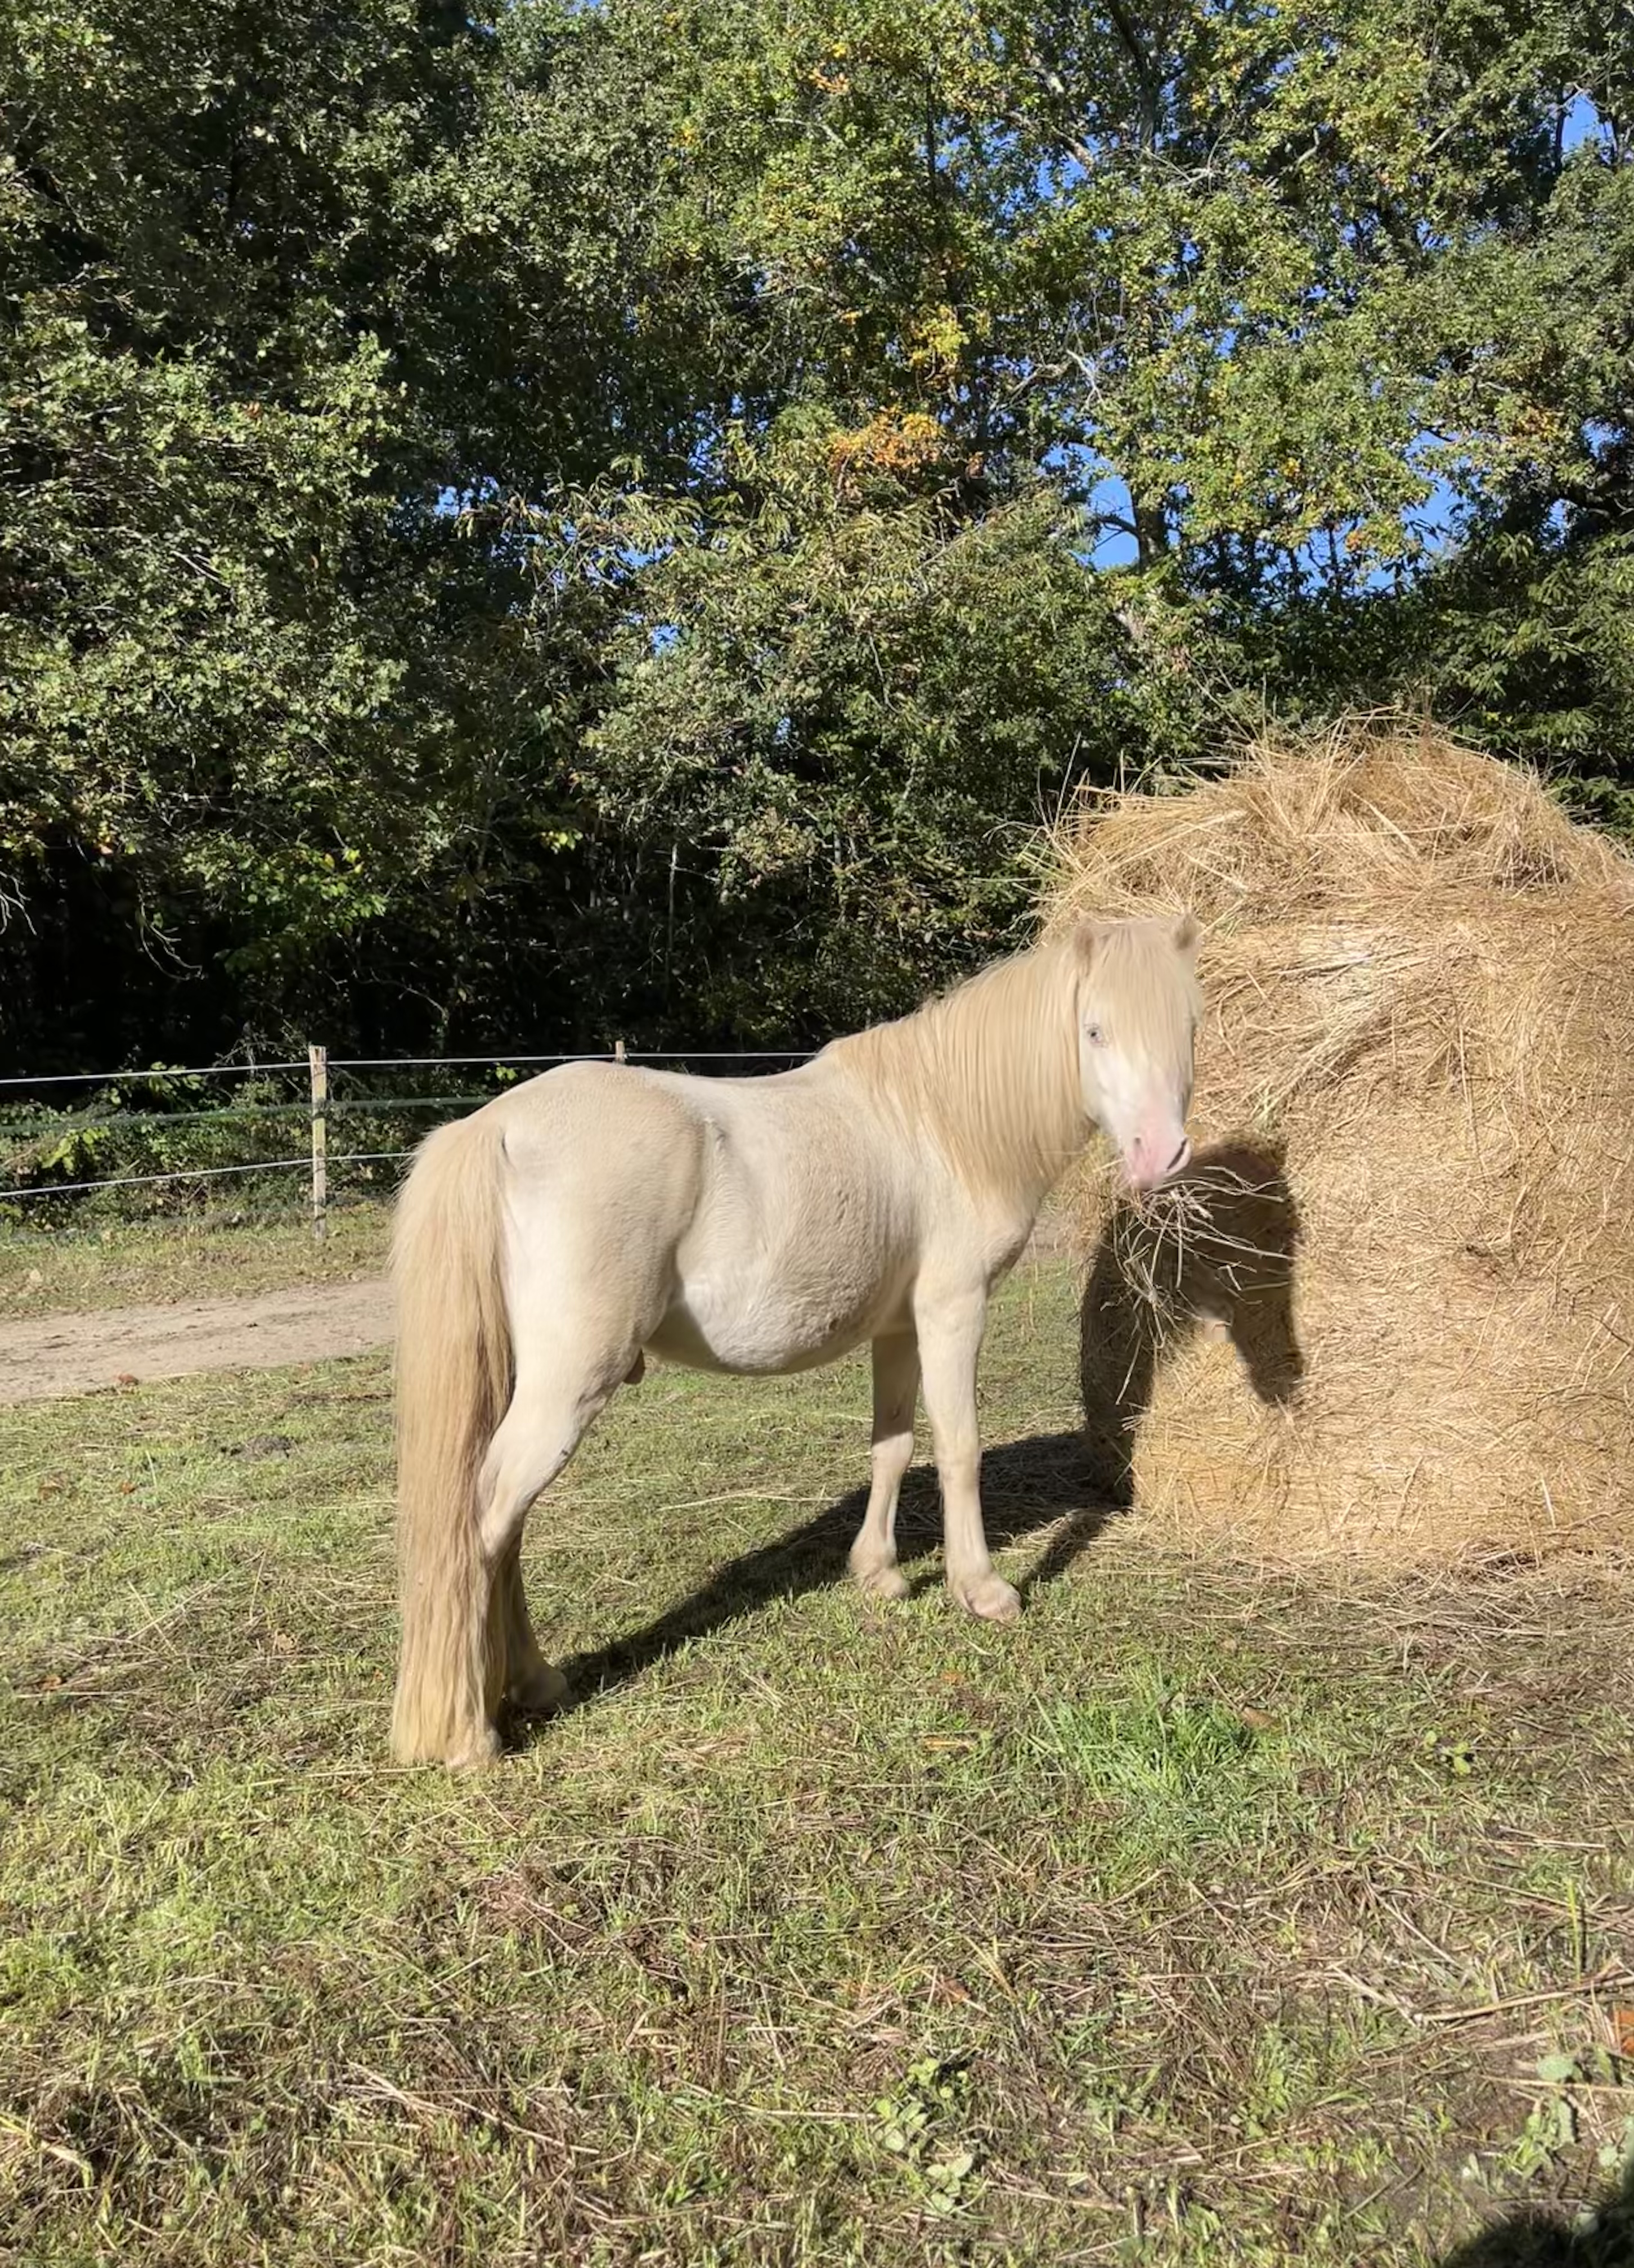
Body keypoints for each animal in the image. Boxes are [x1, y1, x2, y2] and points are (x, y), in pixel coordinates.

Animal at [389, 914, 1201, 1767]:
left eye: (1189, 1027)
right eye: (1095, 1030)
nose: (1161, 1156)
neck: (938, 1125)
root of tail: (495, 1126)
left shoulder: (898, 1328)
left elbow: (893, 1447)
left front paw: (878, 1575)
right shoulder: (953, 1310)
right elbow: (959, 1449)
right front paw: (981, 1591)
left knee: (505, 1524)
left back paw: (533, 1684)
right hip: (568, 1385)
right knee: (486, 1520)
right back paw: (472, 1734)